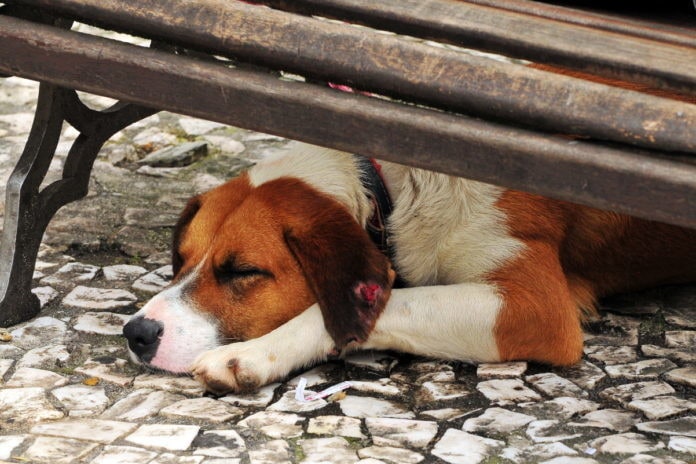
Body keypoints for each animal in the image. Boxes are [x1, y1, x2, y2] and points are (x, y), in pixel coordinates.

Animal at [122, 142, 692, 396]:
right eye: (180, 260)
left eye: (241, 271)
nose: (137, 333)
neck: (397, 194)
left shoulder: (533, 305)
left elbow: (389, 302)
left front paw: (256, 354)